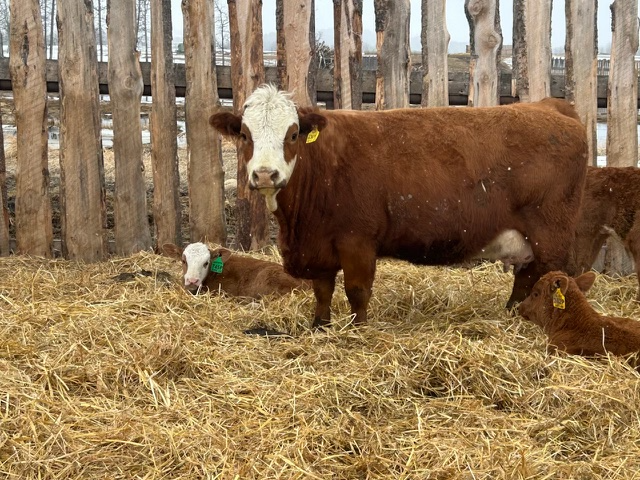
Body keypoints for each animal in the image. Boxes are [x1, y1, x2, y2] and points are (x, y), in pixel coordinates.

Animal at [209, 85, 588, 327]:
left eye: (292, 134)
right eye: (244, 134)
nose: (265, 174)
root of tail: (548, 106)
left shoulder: (357, 241)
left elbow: (357, 291)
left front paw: (358, 331)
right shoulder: (319, 245)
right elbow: (323, 290)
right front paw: (320, 326)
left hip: (552, 235)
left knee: (554, 276)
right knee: (526, 277)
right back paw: (511, 315)